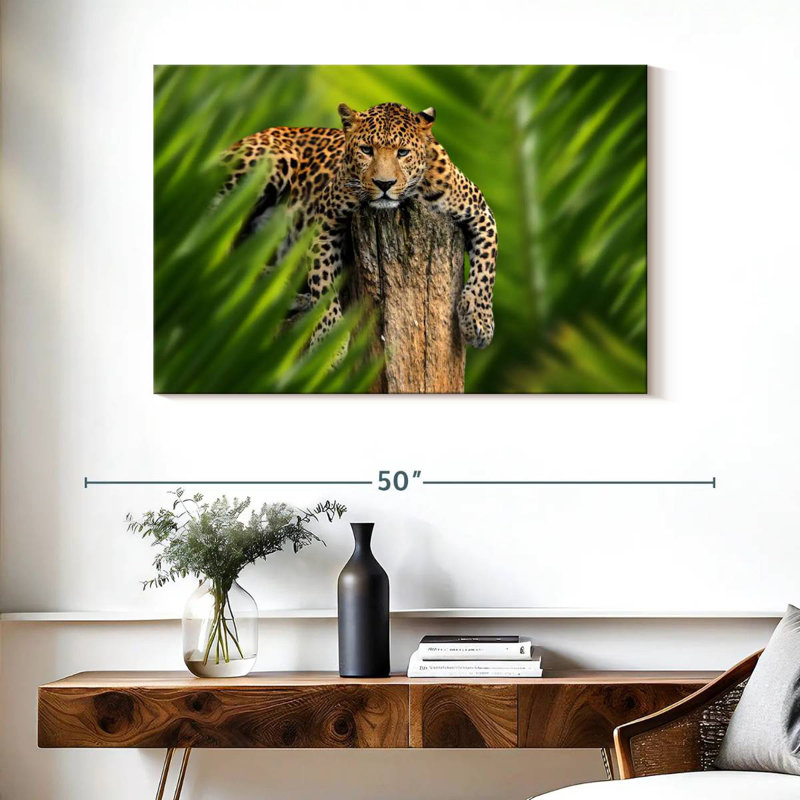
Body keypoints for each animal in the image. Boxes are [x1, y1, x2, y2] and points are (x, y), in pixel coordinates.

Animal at [221, 102, 497, 350]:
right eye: (366, 150)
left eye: (402, 153)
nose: (384, 183)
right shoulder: (324, 219)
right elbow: (323, 280)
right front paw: (329, 341)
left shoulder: (480, 211)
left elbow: (487, 267)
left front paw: (479, 321)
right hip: (269, 162)